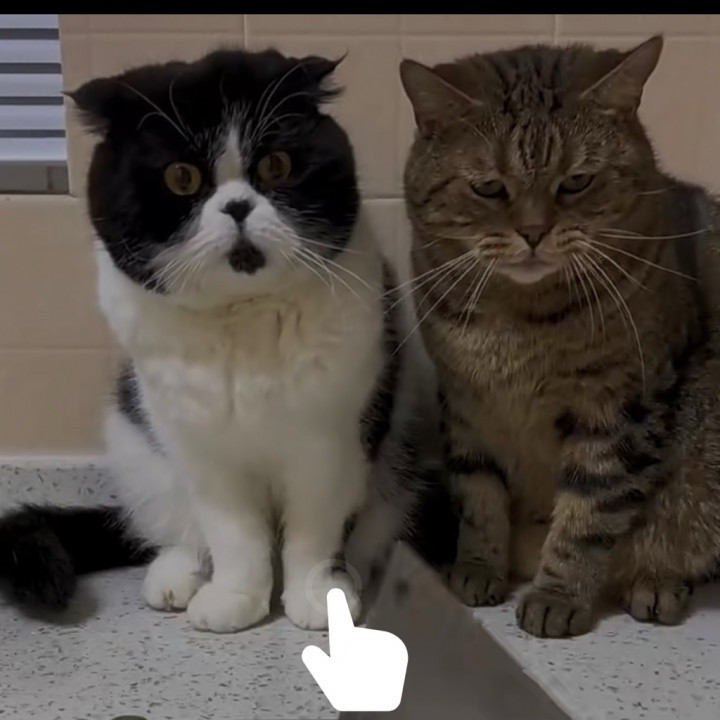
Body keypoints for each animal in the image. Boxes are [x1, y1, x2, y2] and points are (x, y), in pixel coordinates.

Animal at [0, 47, 451, 631]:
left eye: (277, 166)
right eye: (181, 177)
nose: (237, 206)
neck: (244, 320)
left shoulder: (332, 442)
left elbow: (313, 533)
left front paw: (316, 597)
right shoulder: (204, 453)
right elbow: (234, 535)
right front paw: (236, 599)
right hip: (135, 436)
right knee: (174, 529)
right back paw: (174, 579)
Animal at [399, 34, 720, 638]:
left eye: (576, 181)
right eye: (488, 188)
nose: (533, 232)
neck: (518, 321)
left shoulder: (620, 407)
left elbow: (587, 514)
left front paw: (557, 595)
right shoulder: (466, 402)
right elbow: (477, 496)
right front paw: (477, 567)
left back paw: (657, 584)